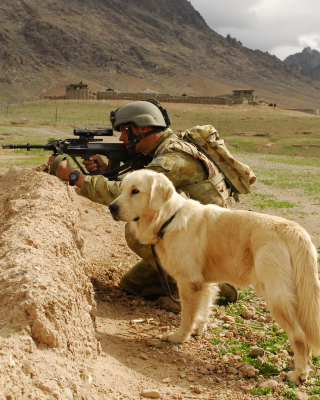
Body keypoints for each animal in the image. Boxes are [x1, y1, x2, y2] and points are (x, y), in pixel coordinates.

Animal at [109, 168, 320, 384]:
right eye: (122, 189)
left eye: (135, 191)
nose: (111, 207)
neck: (168, 219)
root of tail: (294, 230)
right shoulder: (205, 283)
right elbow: (202, 310)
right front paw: (198, 330)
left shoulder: (189, 282)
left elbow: (187, 315)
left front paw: (179, 337)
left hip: (276, 297)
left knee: (299, 336)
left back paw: (299, 374)